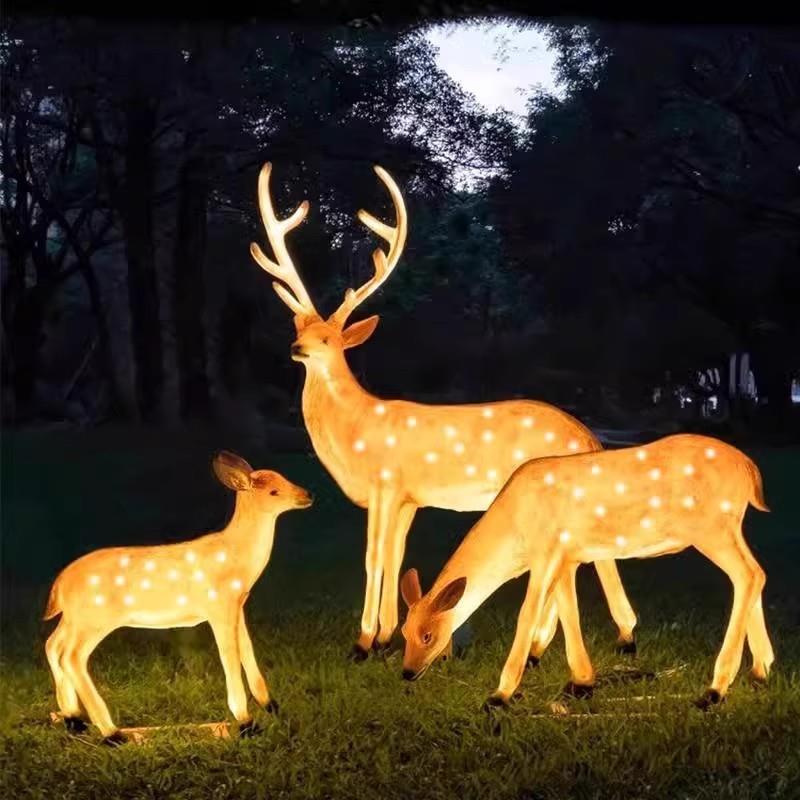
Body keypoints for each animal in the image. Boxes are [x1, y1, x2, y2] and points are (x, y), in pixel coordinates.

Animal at [43, 451, 313, 745]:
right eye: (274, 491)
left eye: (284, 478)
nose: (307, 495)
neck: (236, 557)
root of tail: (59, 586)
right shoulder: (218, 606)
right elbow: (229, 656)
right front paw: (246, 723)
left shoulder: (237, 606)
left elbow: (247, 649)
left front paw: (271, 707)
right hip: (95, 618)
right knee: (72, 657)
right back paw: (113, 734)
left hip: (74, 619)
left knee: (53, 645)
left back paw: (73, 719)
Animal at [250, 161, 639, 662]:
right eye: (298, 327)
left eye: (329, 339)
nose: (297, 349)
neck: (354, 429)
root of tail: (588, 437)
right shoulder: (410, 498)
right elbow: (395, 555)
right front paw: (387, 636)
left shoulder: (385, 484)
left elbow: (373, 556)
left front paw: (362, 641)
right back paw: (568, 643)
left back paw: (582, 641)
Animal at [399, 434, 774, 710]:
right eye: (404, 632)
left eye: (427, 635)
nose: (407, 672)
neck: (514, 529)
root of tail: (750, 471)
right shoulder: (567, 556)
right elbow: (569, 611)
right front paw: (581, 683)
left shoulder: (546, 550)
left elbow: (527, 614)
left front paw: (499, 695)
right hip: (729, 527)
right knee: (755, 573)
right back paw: (759, 672)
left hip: (710, 527)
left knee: (747, 574)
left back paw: (715, 690)